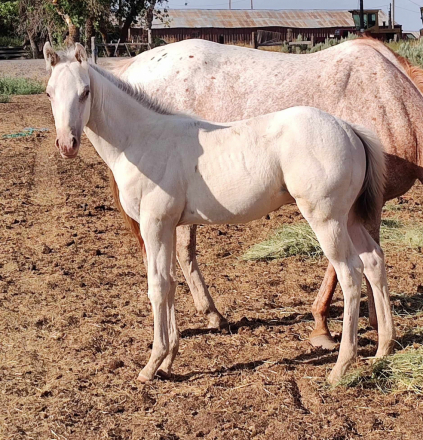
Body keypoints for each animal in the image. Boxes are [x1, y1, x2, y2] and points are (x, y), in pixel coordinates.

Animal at [44, 43, 396, 384]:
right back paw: (383, 350)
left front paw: (151, 366)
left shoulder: (154, 223)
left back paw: (341, 367)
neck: (141, 140)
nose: (67, 145)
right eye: (49, 92)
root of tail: (350, 129)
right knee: (373, 261)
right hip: (349, 218)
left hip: (327, 218)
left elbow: (157, 286)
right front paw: (168, 361)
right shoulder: (167, 225)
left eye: (85, 91)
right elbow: (170, 283)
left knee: (350, 273)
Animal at [110, 37, 423, 348]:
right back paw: (211, 315)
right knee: (183, 253)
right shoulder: (361, 204)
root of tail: (132, 65)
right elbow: (350, 262)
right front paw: (341, 325)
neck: (391, 98)